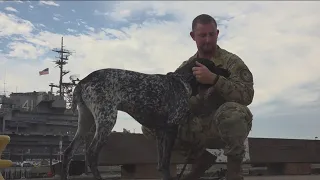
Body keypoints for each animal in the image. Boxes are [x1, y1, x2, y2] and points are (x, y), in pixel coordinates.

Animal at [60, 57, 230, 180]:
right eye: (212, 66)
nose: (227, 71)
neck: (181, 81)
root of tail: (84, 80)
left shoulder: (161, 131)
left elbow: (161, 163)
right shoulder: (171, 127)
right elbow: (166, 161)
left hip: (85, 121)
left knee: (68, 152)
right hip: (106, 119)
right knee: (91, 154)